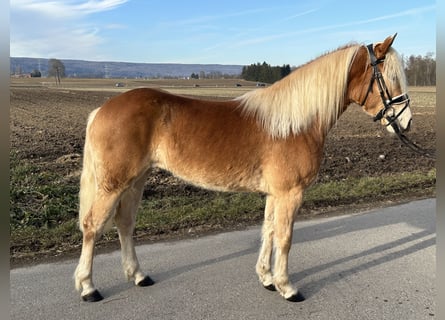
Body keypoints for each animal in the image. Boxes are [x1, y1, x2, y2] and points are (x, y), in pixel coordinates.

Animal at [73, 35, 410, 302]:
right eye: (390, 78)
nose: (406, 122)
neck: (294, 123)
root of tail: (102, 109)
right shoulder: (290, 193)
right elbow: (284, 238)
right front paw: (287, 287)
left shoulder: (276, 194)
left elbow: (268, 231)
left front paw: (267, 279)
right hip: (114, 184)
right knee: (92, 225)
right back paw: (88, 287)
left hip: (136, 181)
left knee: (125, 225)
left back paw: (138, 275)